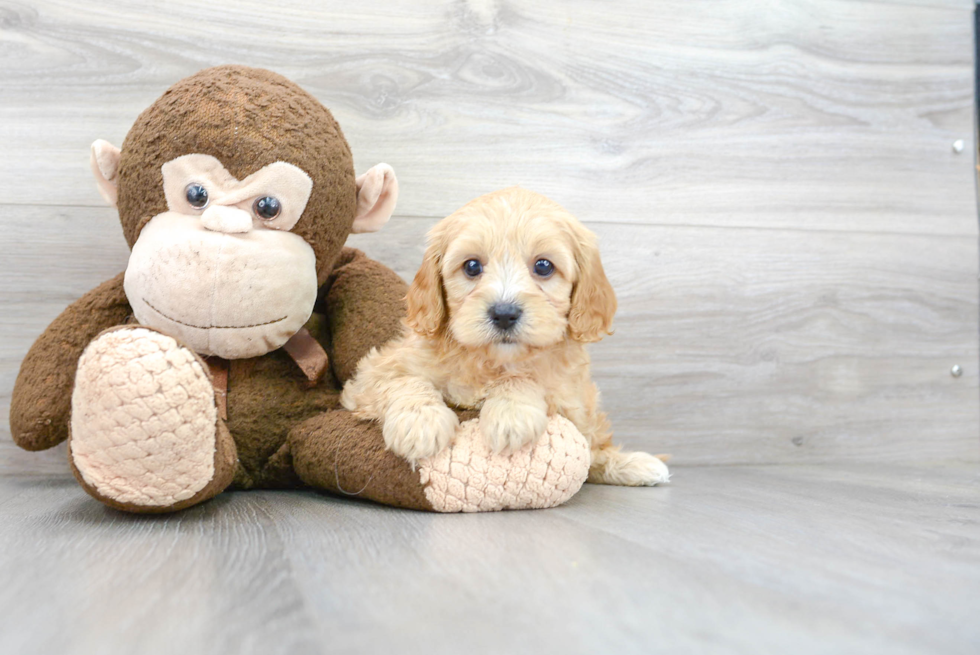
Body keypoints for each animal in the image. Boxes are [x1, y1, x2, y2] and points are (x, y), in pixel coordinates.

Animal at [340, 187, 668, 484]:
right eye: (472, 266)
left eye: (543, 266)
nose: (504, 314)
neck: (492, 361)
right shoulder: (371, 374)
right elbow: (403, 380)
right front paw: (420, 423)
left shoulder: (567, 397)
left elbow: (525, 379)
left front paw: (510, 416)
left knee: (595, 448)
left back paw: (637, 465)